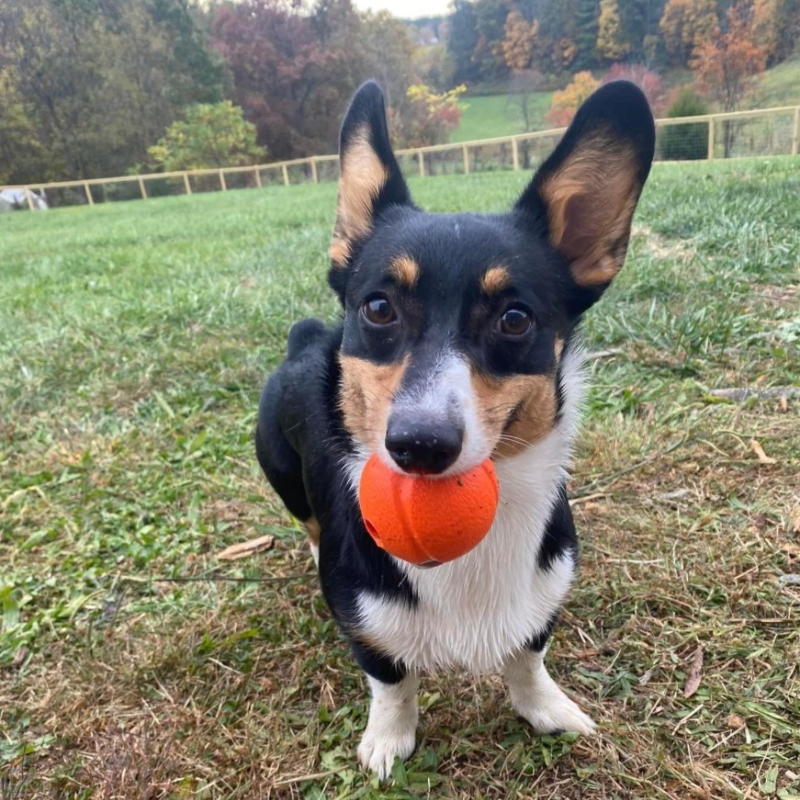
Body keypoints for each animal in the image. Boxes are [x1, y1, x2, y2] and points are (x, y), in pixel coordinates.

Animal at [256, 78, 656, 780]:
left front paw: (546, 709)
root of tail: (304, 340)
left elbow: (527, 658)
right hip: (280, 470)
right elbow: (392, 681)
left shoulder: (541, 601)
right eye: (378, 307)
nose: (418, 445)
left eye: (515, 319)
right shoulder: (367, 624)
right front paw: (389, 741)